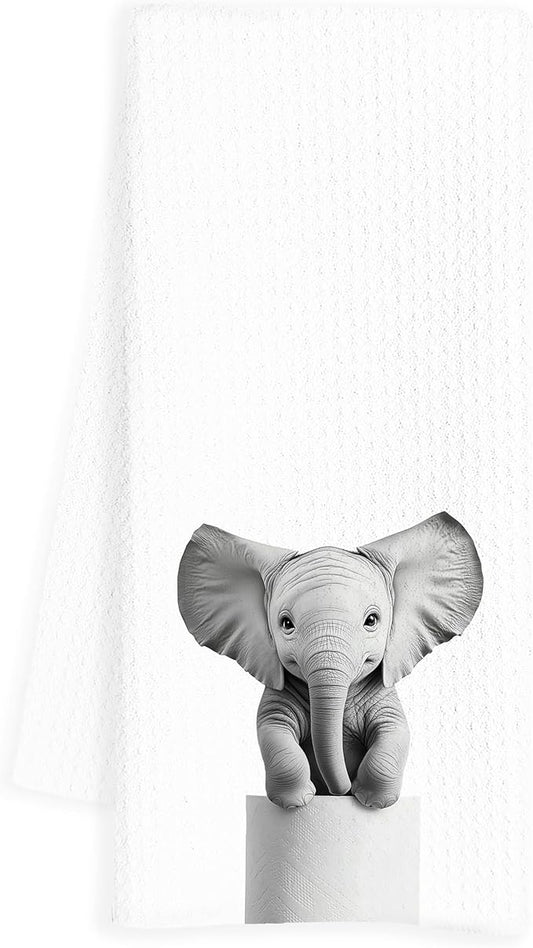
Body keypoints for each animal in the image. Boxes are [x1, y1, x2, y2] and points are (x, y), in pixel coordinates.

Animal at [177, 511, 482, 810]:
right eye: (286, 624)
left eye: (372, 620)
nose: (341, 791)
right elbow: (273, 731)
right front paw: (297, 801)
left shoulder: (382, 691)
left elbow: (395, 732)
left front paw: (370, 801)